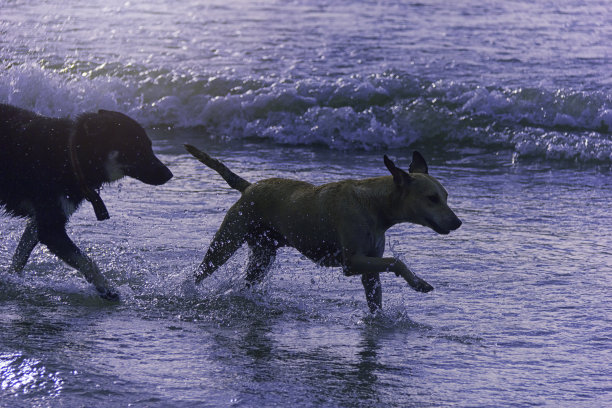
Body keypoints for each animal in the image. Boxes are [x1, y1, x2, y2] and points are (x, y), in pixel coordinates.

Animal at [0, 103, 172, 300]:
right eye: (136, 148)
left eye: (150, 146)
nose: (169, 174)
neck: (70, 154)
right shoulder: (51, 229)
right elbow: (87, 261)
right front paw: (107, 288)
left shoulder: (41, 221)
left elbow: (20, 256)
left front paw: (11, 277)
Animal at [184, 144, 462, 312]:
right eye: (432, 198)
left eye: (446, 196)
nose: (458, 222)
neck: (374, 205)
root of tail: (249, 187)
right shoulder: (352, 262)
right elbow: (396, 261)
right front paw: (418, 283)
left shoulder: (370, 267)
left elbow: (376, 292)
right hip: (227, 241)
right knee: (201, 271)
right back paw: (187, 291)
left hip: (263, 254)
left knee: (249, 278)